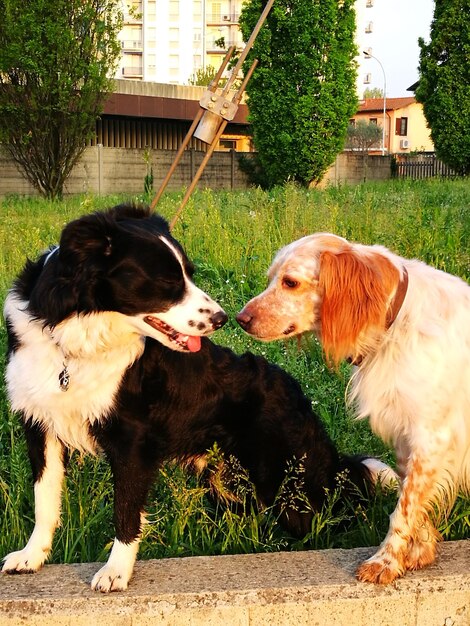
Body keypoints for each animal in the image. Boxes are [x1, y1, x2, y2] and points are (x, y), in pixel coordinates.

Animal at [2, 205, 392, 588]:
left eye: (189, 274)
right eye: (168, 282)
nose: (222, 319)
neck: (74, 338)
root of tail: (300, 397)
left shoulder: (131, 441)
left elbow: (125, 511)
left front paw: (115, 572)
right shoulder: (41, 426)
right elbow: (44, 500)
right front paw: (32, 556)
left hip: (289, 485)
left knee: (339, 509)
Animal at [239, 232, 470, 584]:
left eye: (290, 282)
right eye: (271, 279)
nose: (240, 319)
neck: (395, 326)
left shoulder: (432, 437)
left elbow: (403, 509)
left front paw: (385, 562)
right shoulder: (408, 437)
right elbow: (412, 502)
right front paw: (419, 552)